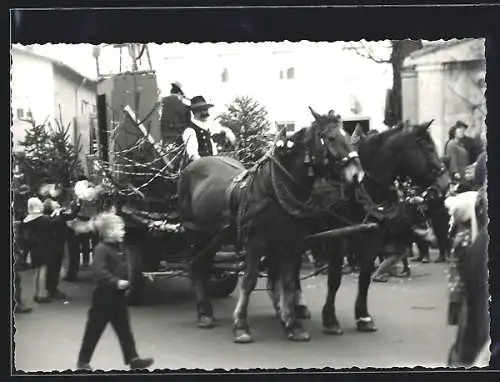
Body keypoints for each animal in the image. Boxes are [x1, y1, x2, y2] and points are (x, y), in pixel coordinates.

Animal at [178, 107, 366, 344]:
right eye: (331, 137)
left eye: (349, 136)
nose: (357, 175)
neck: (276, 189)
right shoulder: (256, 242)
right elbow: (249, 282)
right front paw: (241, 325)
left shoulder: (291, 242)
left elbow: (288, 281)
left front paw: (292, 324)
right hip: (194, 232)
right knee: (196, 267)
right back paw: (204, 312)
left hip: (215, 237)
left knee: (205, 265)